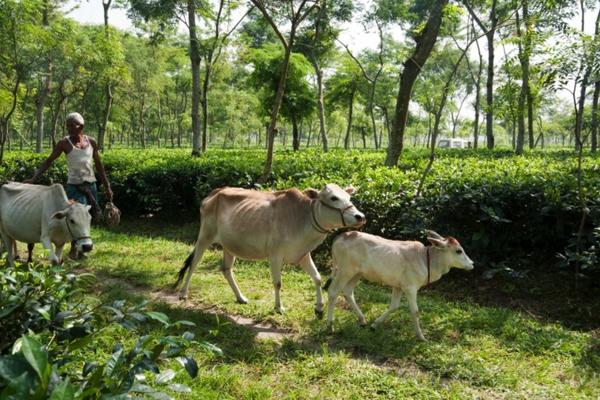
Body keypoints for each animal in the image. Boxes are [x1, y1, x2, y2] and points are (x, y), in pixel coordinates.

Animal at [175, 183, 366, 318]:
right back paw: (183, 293)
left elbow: (318, 278)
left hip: (229, 246)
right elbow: (278, 283)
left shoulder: (303, 254)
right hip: (205, 236)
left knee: (226, 269)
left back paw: (241, 297)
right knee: (194, 263)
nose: (360, 217)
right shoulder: (275, 255)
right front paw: (278, 307)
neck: (303, 217)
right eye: (334, 198)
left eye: (349, 197)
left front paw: (319, 308)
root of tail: (214, 193)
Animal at [328, 230, 474, 340]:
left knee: (348, 291)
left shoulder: (398, 286)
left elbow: (394, 306)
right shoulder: (411, 288)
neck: (426, 259)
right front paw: (421, 337)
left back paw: (363, 320)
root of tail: (341, 236)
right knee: (333, 291)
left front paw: (374, 325)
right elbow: (415, 311)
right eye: (459, 251)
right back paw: (330, 325)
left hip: (357, 273)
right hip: (345, 271)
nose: (472, 264)